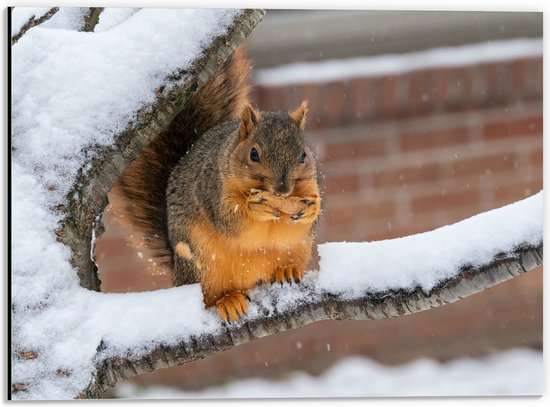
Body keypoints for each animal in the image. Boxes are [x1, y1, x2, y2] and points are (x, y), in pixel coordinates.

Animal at [113, 47, 324, 322]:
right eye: (253, 154)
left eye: (303, 155)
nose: (282, 190)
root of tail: (178, 275)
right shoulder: (211, 188)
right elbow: (229, 219)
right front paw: (254, 208)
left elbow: (299, 224)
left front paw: (311, 209)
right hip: (202, 265)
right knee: (210, 296)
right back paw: (228, 301)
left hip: (296, 250)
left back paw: (285, 271)